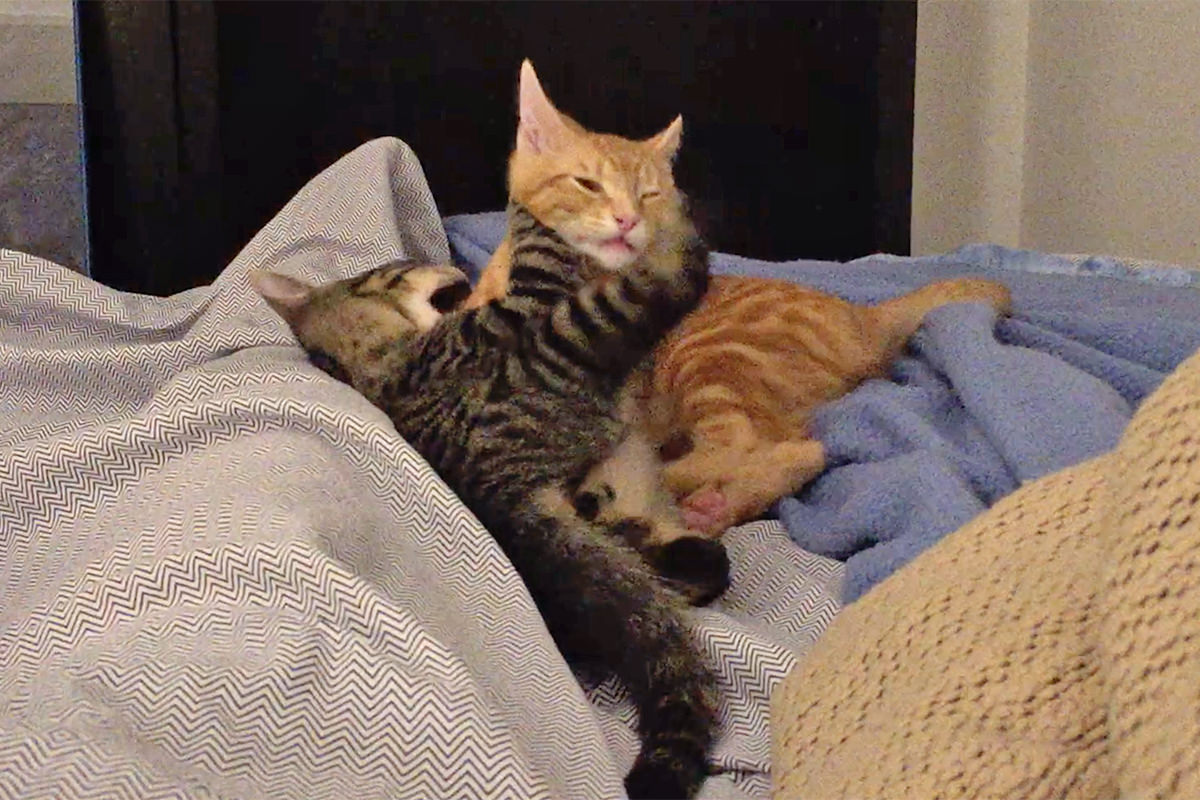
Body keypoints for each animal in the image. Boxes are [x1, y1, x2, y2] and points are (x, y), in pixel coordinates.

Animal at [468, 59, 1012, 534]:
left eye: (649, 195)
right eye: (587, 184)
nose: (628, 219)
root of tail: (862, 315)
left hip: (712, 356)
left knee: (764, 447)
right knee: (798, 448)